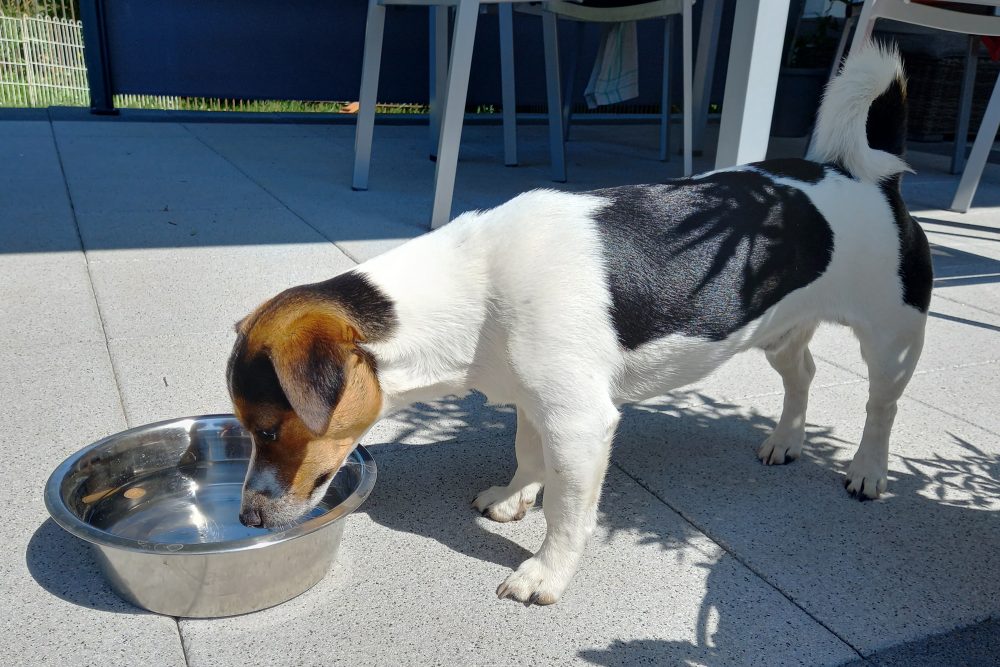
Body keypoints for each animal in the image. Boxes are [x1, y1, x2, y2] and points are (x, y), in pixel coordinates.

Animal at [225, 43, 928, 604]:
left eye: (268, 428)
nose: (249, 519)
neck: (473, 293)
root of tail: (865, 176)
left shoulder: (580, 422)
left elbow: (566, 512)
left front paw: (546, 573)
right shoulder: (535, 403)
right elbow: (526, 454)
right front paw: (516, 495)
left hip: (893, 339)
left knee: (882, 406)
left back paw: (868, 468)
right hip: (780, 332)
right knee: (802, 372)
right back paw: (786, 438)